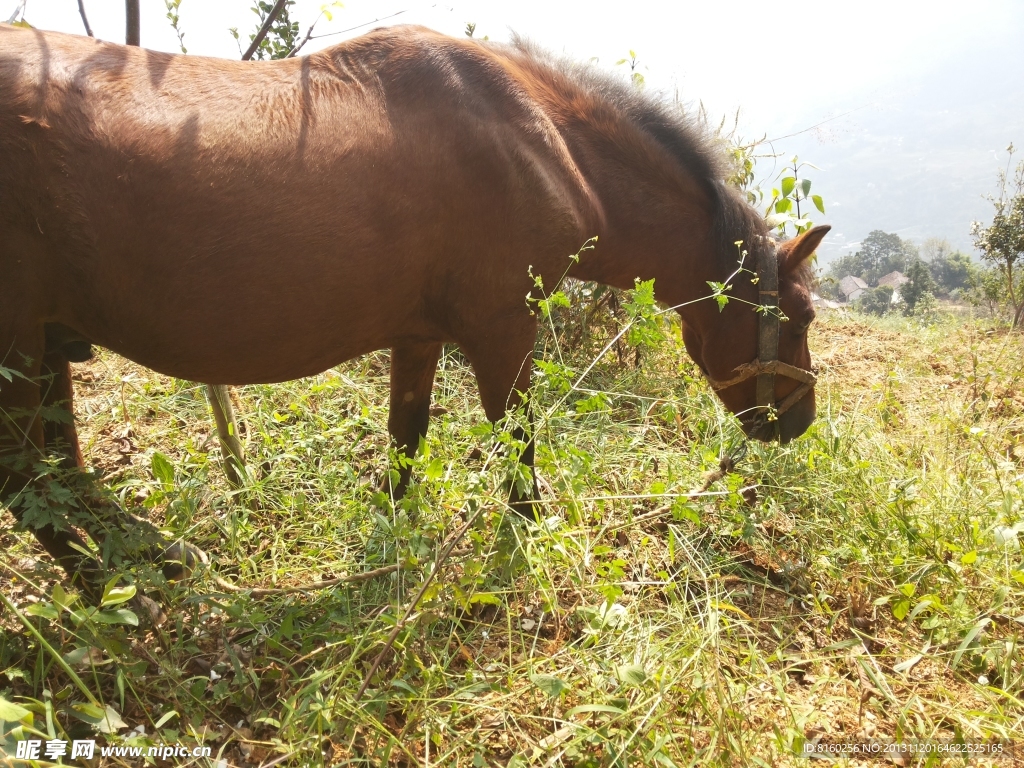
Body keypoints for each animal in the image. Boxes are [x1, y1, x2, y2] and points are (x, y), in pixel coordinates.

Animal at [0, 24, 827, 589]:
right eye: (805, 316)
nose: (799, 422)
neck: (542, 140)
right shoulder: (503, 330)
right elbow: (519, 444)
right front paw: (525, 543)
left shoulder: (419, 334)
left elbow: (406, 437)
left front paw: (393, 539)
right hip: (17, 345)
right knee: (25, 479)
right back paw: (111, 584)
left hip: (45, 341)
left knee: (62, 470)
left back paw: (147, 557)